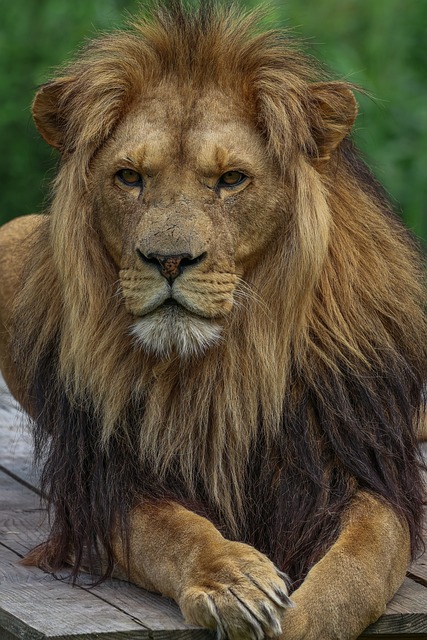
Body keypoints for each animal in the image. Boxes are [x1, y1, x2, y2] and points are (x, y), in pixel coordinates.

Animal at [0, 3, 425, 639]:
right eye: (129, 177)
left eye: (231, 180)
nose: (169, 260)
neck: (227, 361)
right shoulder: (106, 489)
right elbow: (176, 533)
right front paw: (232, 581)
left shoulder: (362, 469)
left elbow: (357, 567)